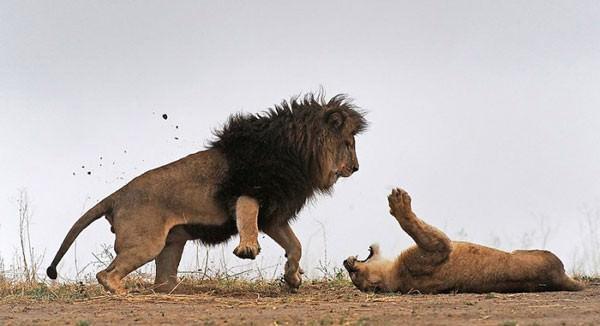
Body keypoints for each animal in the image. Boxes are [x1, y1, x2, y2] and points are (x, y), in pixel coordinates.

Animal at [47, 93, 366, 294]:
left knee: (162, 283)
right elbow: (246, 215)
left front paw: (293, 278)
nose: (356, 168)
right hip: (147, 242)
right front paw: (247, 248)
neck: (298, 153)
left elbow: (295, 246)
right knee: (106, 274)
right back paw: (122, 291)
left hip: (172, 242)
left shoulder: (273, 213)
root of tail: (117, 195)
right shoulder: (248, 187)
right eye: (349, 143)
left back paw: (181, 291)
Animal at [344, 188, 584, 292]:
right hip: (531, 253)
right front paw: (399, 203)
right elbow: (414, 227)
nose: (346, 263)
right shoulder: (437, 250)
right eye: (354, 275)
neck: (393, 277)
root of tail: (559, 278)